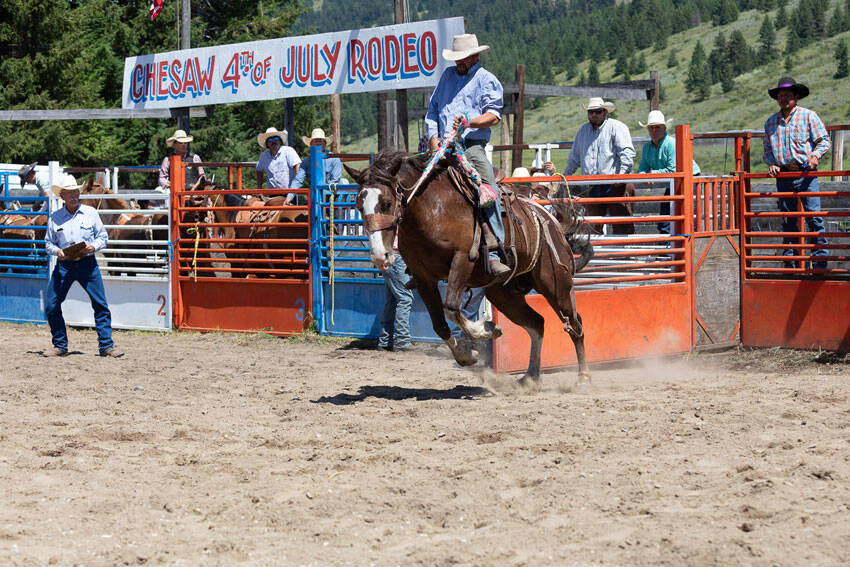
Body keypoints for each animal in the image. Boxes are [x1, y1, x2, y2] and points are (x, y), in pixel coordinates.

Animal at [348, 151, 592, 390]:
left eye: (387, 203)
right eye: (359, 206)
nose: (379, 256)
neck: (431, 208)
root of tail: (551, 221)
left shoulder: (463, 260)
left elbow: (451, 308)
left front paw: (486, 330)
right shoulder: (422, 277)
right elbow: (439, 324)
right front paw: (467, 354)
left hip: (556, 284)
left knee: (575, 324)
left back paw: (583, 377)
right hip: (504, 294)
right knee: (536, 324)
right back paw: (531, 377)